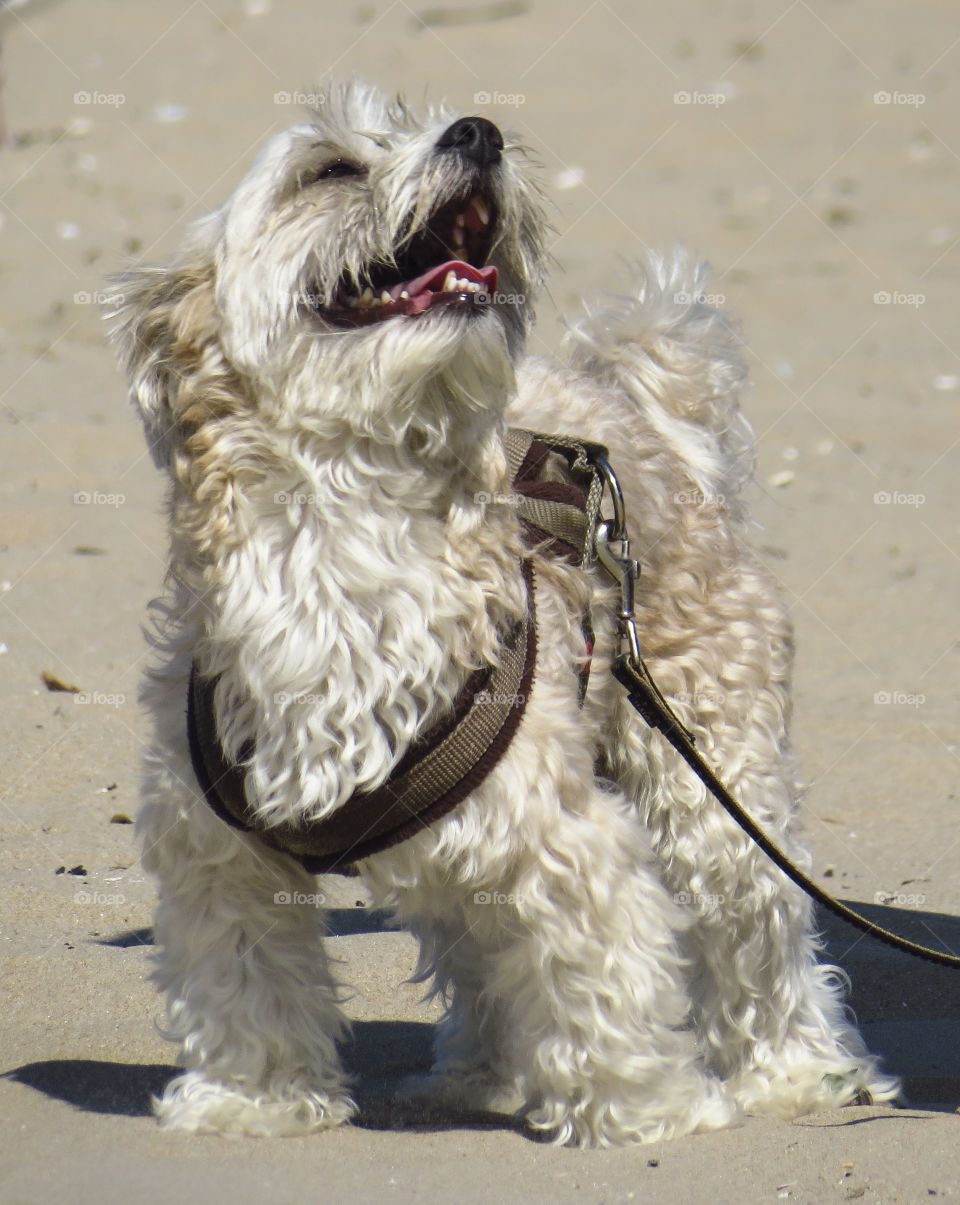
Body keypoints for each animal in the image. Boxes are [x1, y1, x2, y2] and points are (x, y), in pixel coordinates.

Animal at [108, 77, 896, 1147]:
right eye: (330, 169)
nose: (477, 133)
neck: (346, 532)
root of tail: (631, 410)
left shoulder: (567, 834)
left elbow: (607, 969)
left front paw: (647, 1107)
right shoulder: (217, 851)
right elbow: (245, 978)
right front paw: (254, 1098)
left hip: (713, 773)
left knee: (758, 925)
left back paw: (797, 1072)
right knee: (478, 940)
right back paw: (481, 1073)